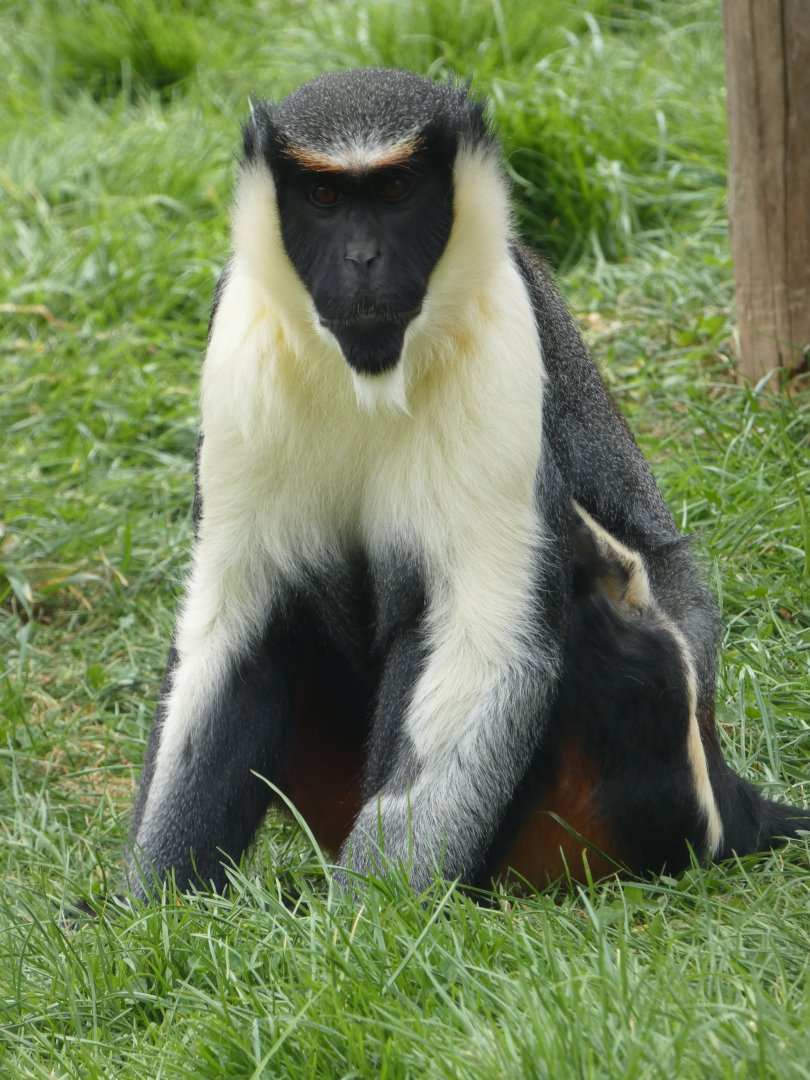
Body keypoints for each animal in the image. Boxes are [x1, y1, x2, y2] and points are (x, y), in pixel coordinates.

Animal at [124, 68, 809, 900]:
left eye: (396, 189)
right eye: (323, 196)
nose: (362, 258)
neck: (368, 374)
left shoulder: (503, 337)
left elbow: (483, 639)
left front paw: (367, 917)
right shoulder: (238, 340)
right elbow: (233, 622)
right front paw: (145, 912)